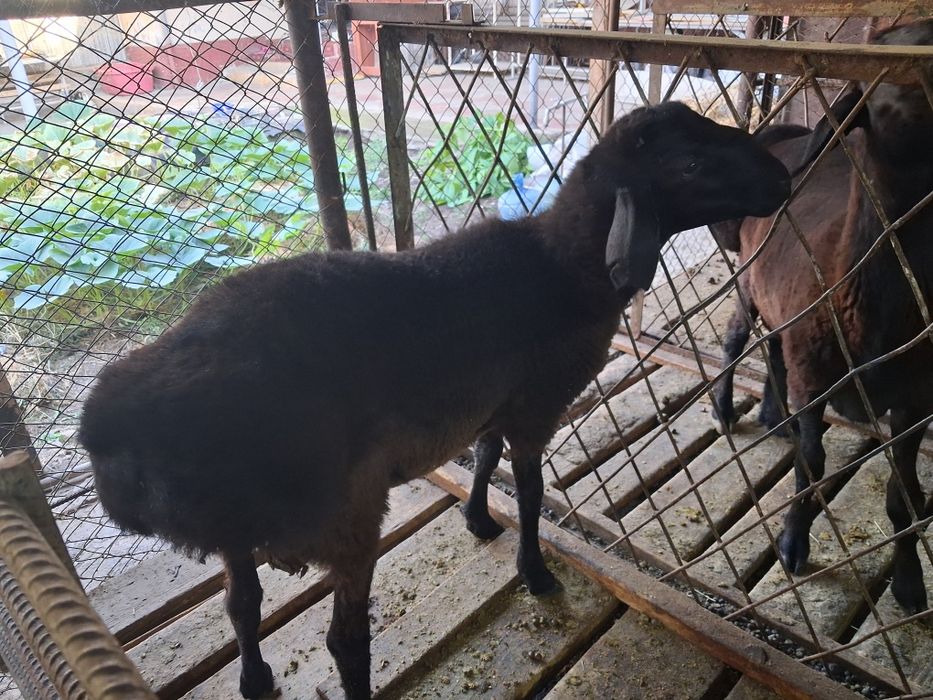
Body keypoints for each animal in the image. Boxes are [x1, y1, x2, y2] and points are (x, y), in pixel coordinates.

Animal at [78, 102, 790, 700]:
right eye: (690, 164)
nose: (782, 177)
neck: (565, 266)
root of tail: (114, 422)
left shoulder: (497, 399)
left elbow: (484, 455)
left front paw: (476, 521)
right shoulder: (536, 407)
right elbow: (529, 492)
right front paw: (536, 573)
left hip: (238, 529)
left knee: (242, 605)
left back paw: (255, 681)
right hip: (347, 511)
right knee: (343, 639)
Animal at [709, 19, 933, 615]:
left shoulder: (916, 404)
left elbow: (905, 497)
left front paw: (909, 582)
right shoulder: (815, 380)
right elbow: (810, 466)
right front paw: (792, 542)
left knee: (772, 345)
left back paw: (771, 411)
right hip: (749, 275)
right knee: (737, 339)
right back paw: (726, 407)